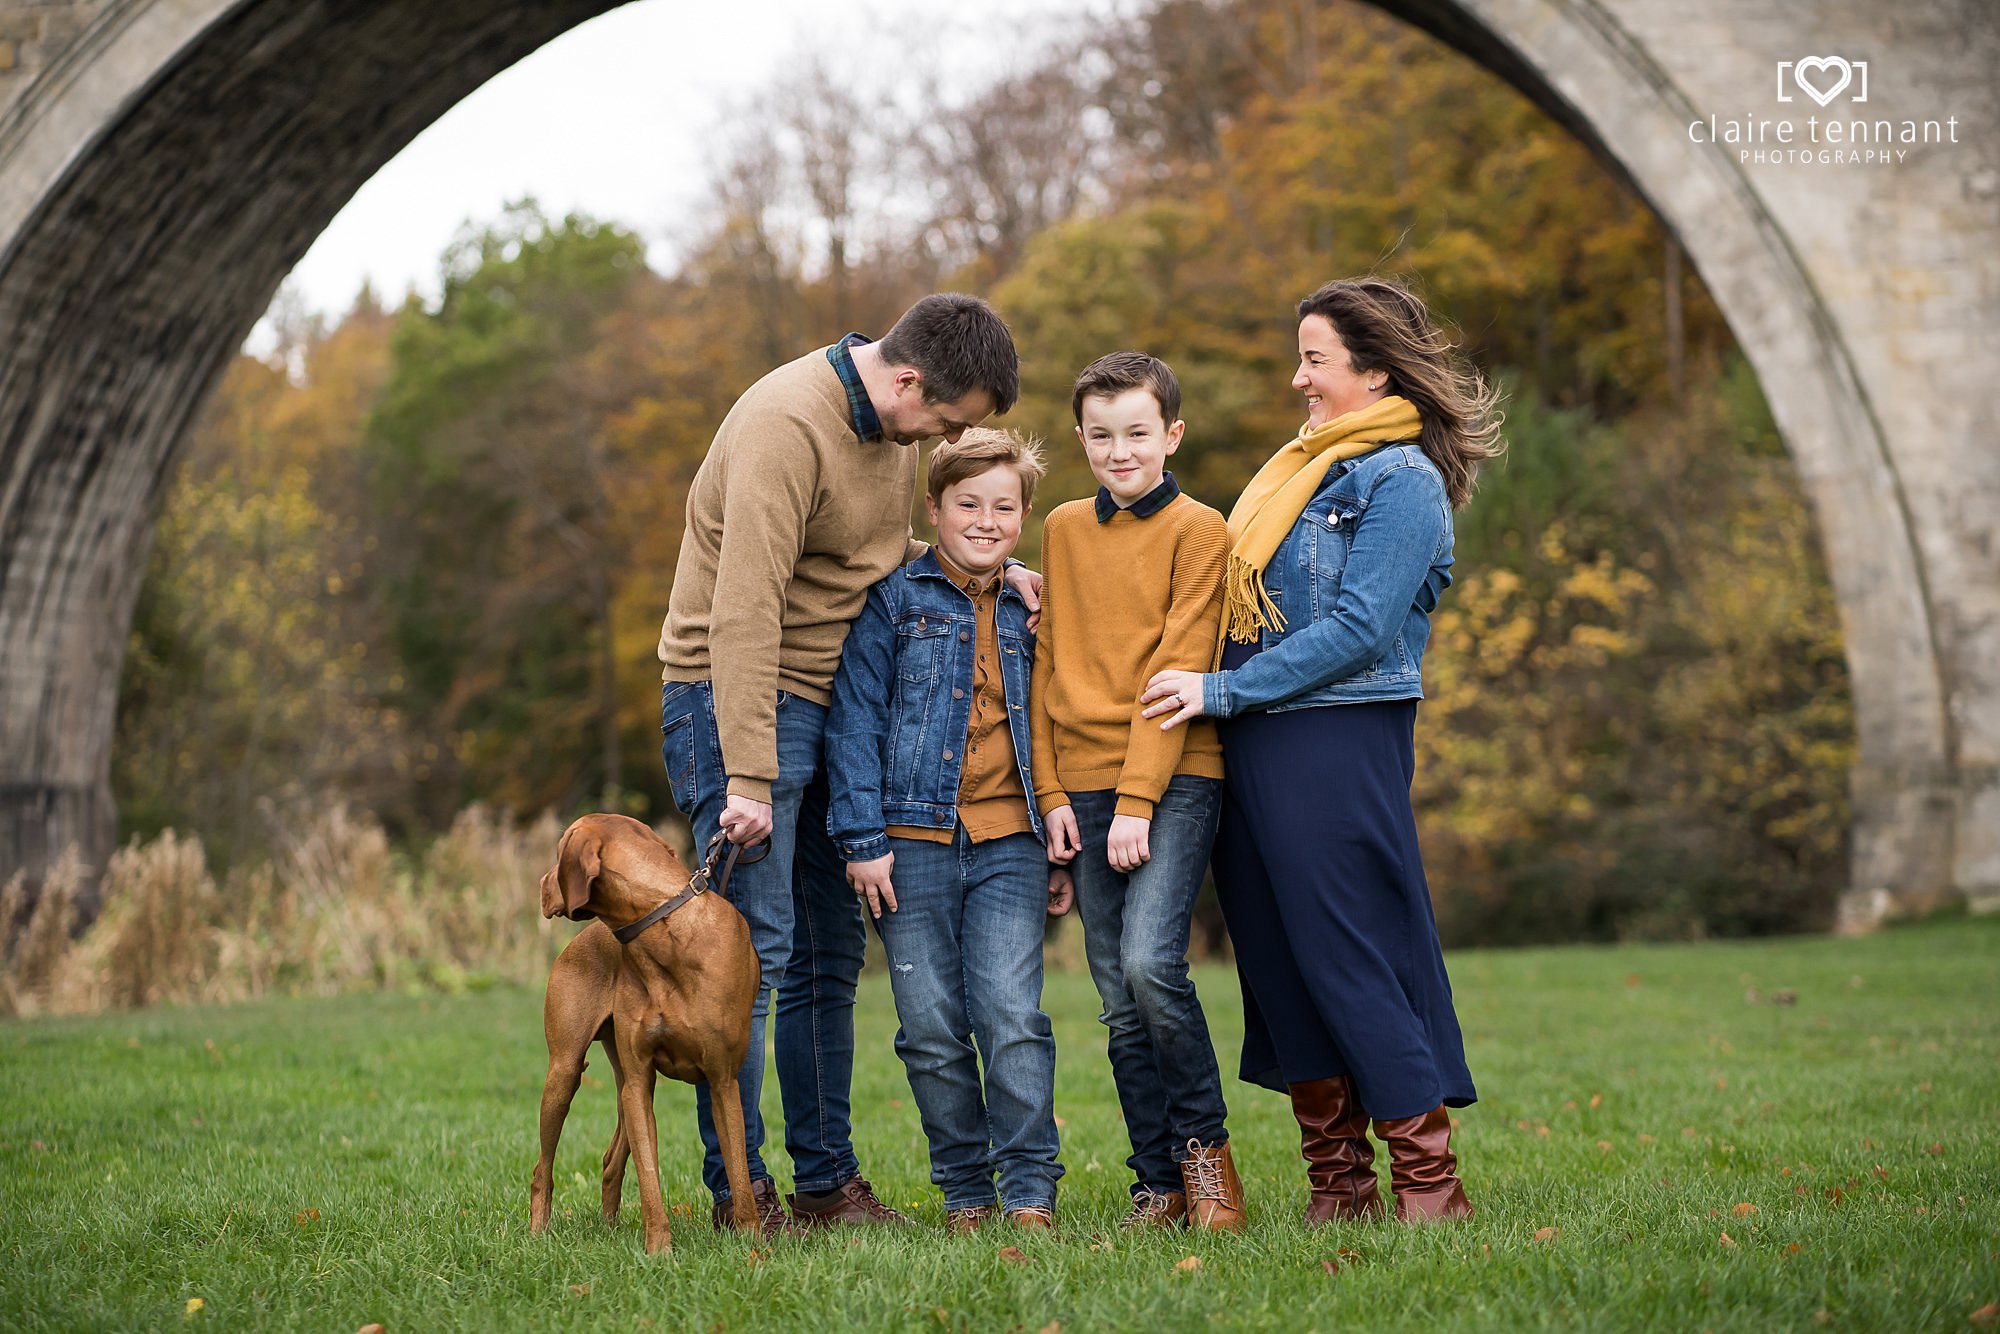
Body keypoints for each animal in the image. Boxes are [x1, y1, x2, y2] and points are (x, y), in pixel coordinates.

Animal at [528, 808, 760, 1256]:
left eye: (559, 853)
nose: (542, 885)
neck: (664, 929)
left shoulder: (723, 1080)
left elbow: (739, 1169)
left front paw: (751, 1244)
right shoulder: (639, 1082)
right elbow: (649, 1174)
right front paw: (660, 1251)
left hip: (622, 1082)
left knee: (610, 1160)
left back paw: (610, 1228)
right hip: (565, 1074)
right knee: (542, 1169)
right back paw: (537, 1234)